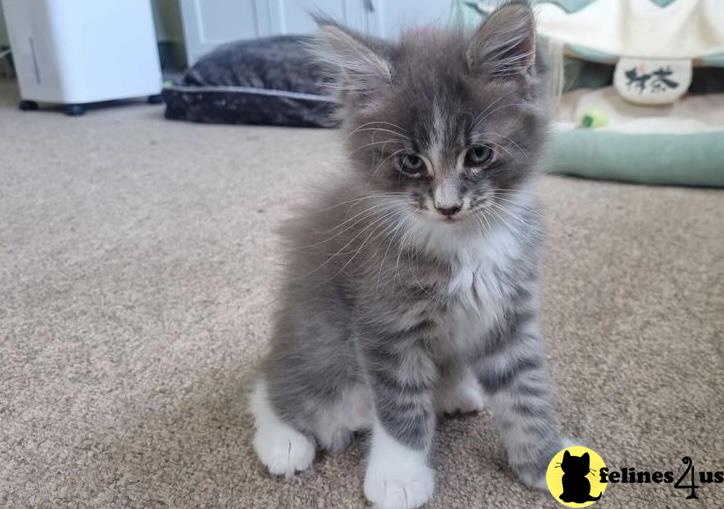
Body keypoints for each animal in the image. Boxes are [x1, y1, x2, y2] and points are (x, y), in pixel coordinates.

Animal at [252, 1, 568, 506]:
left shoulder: (509, 310)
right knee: (277, 387)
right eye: (411, 162)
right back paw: (283, 441)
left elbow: (525, 389)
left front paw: (543, 460)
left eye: (478, 154)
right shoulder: (385, 321)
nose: (447, 206)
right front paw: (399, 476)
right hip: (324, 343)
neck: (466, 243)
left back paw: (457, 391)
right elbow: (401, 406)